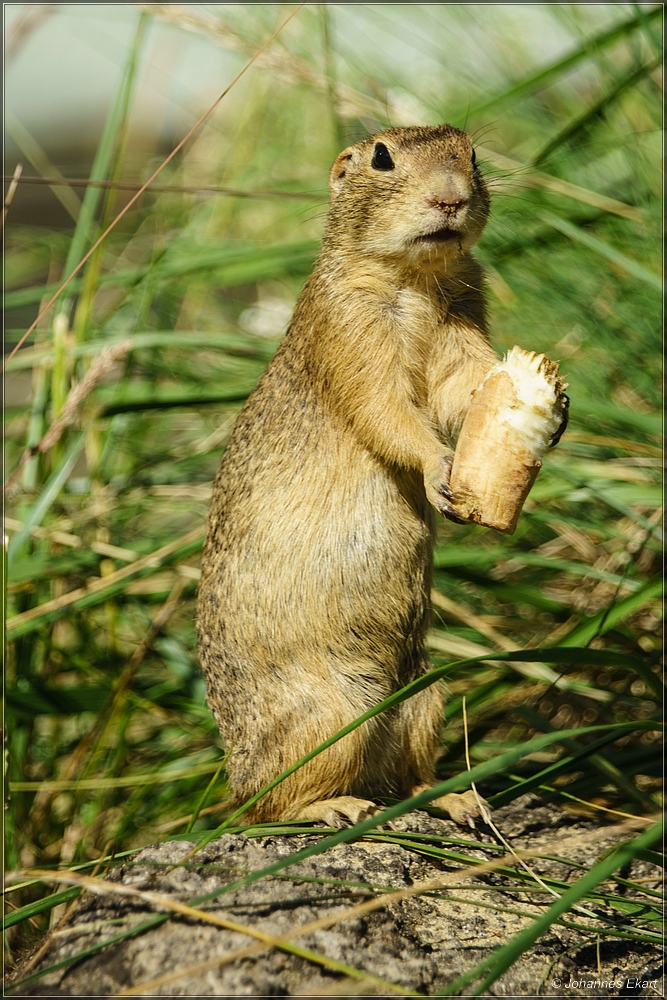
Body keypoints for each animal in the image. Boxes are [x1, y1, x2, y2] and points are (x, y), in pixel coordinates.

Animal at [201, 125, 504, 828]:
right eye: (382, 157)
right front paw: (441, 469)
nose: (450, 198)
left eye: (472, 153)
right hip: (330, 715)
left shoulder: (463, 315)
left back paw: (459, 799)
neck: (416, 280)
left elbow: (468, 381)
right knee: (271, 805)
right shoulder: (350, 327)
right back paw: (332, 807)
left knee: (407, 780)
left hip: (424, 699)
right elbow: (388, 410)